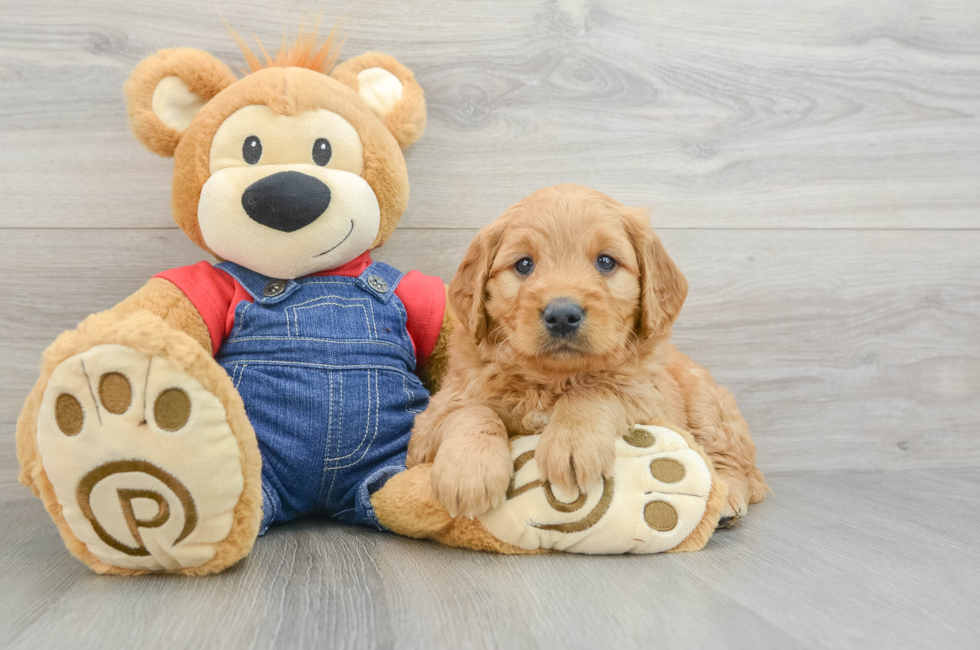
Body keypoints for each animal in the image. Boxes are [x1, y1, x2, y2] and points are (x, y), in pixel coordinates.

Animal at [410, 181, 768, 520]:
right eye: (524, 264)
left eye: (605, 261)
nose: (562, 315)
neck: (553, 379)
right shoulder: (430, 420)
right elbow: (471, 411)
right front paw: (468, 473)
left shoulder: (648, 400)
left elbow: (595, 389)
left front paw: (571, 444)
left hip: (708, 407)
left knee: (734, 464)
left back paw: (728, 500)